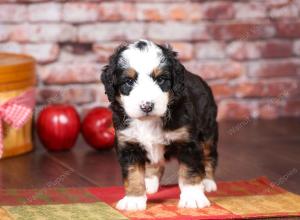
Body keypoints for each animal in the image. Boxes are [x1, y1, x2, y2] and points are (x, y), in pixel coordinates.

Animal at [101, 39, 218, 211]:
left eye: (161, 79)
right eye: (129, 81)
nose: (147, 106)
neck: (149, 121)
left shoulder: (188, 142)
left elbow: (190, 171)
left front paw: (192, 198)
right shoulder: (128, 144)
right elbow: (133, 173)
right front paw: (134, 199)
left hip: (208, 130)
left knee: (209, 156)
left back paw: (208, 182)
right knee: (155, 163)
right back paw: (149, 182)